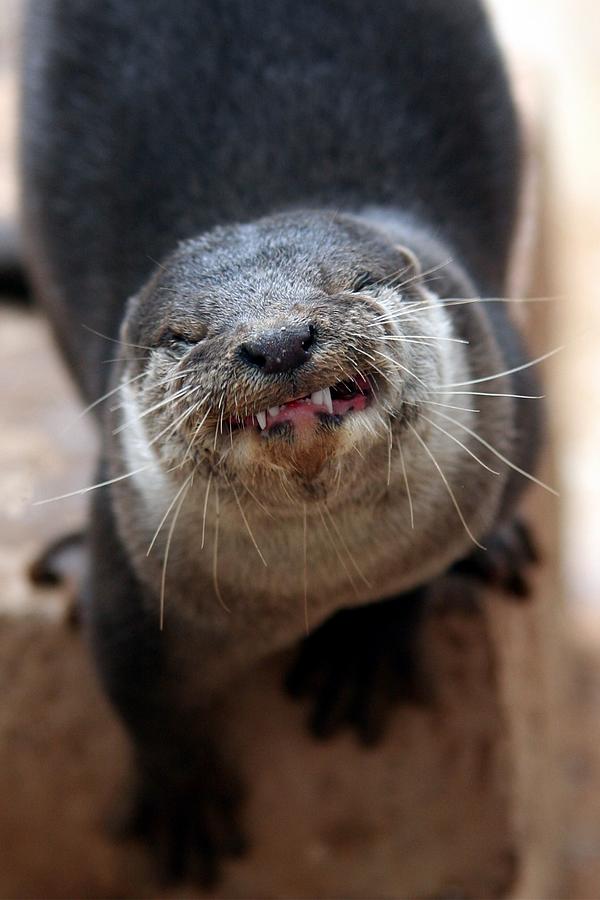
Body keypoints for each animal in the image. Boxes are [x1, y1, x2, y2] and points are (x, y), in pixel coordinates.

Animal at [19, 0, 544, 884]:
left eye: (353, 285)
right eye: (185, 334)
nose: (278, 342)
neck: (316, 582)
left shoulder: (513, 399)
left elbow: (419, 573)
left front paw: (367, 647)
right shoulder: (133, 557)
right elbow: (135, 683)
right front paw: (182, 795)